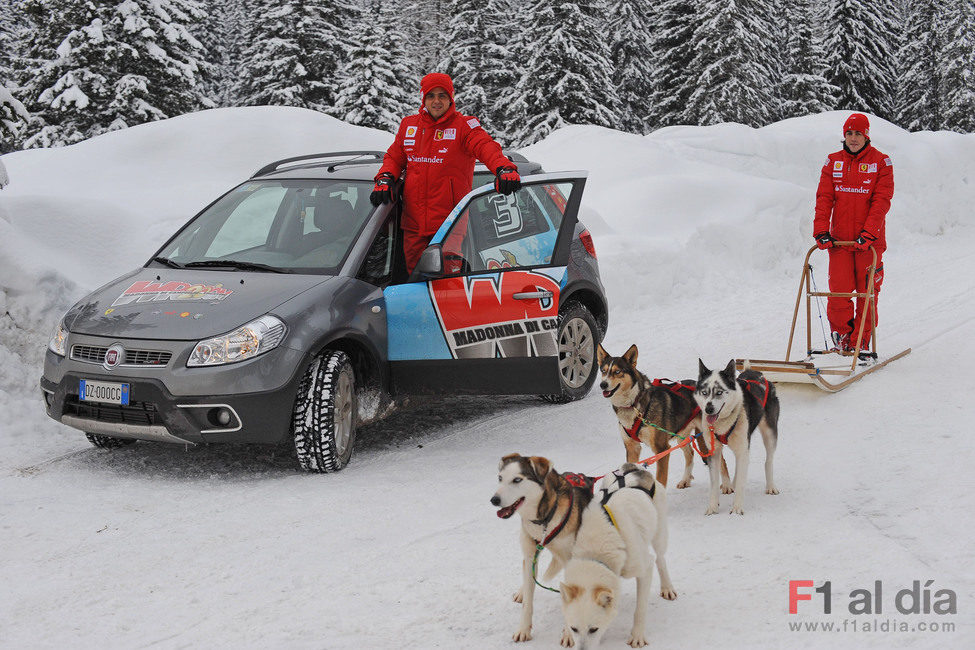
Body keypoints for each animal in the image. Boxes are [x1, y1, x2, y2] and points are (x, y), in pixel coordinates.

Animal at [492, 454, 592, 640]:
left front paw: (569, 635)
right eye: (500, 478)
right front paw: (523, 629)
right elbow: (528, 603)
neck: (543, 520)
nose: (494, 500)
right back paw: (522, 591)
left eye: (517, 479)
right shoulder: (530, 554)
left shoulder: (570, 559)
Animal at [556, 464, 680, 644]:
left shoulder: (644, 569)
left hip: (659, 533)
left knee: (660, 558)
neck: (597, 551)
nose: (582, 649)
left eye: (594, 629)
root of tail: (635, 468)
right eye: (574, 628)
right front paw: (566, 633)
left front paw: (637, 635)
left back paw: (667, 587)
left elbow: (640, 608)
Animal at [600, 344, 704, 486]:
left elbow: (660, 480)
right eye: (603, 371)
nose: (603, 384)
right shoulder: (632, 448)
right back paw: (685, 480)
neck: (633, 404)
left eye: (617, 371)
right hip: (682, 435)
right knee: (691, 453)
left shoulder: (662, 449)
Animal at [696, 356, 780, 512]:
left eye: (719, 392)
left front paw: (736, 509)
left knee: (769, 460)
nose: (708, 409)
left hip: (769, 434)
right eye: (704, 392)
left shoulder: (743, 449)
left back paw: (771, 486)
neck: (723, 423)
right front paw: (712, 508)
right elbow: (714, 483)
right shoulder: (714, 452)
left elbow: (742, 482)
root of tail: (756, 373)